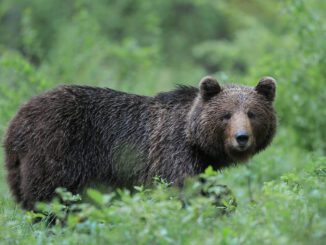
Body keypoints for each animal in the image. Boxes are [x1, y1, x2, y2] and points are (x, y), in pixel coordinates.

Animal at [3, 76, 276, 209]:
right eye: (226, 115)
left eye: (252, 113)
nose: (241, 137)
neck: (195, 140)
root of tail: (16, 122)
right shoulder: (171, 150)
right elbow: (181, 187)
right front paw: (221, 203)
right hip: (56, 146)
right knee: (50, 197)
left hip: (19, 166)